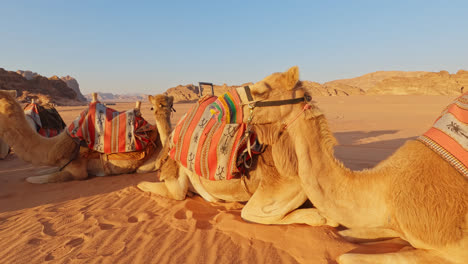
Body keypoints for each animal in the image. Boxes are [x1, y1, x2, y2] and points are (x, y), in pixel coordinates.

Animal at [241, 66, 468, 264]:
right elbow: (347, 234)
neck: (385, 190)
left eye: (261, 91)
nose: (234, 108)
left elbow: (346, 257)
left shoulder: (452, 248)